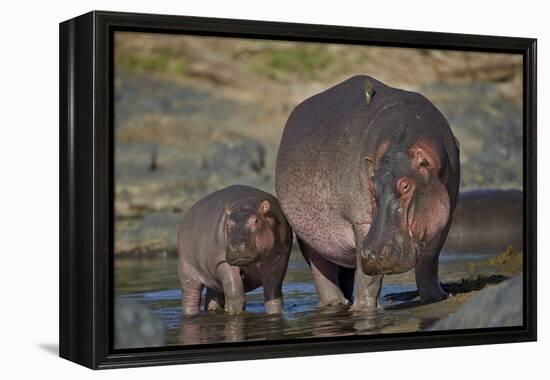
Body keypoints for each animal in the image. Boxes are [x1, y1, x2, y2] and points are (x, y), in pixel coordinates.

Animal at [180, 186, 294, 314]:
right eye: (227, 223)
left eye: (256, 220)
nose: (237, 247)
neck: (246, 203)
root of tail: (188, 213)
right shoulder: (222, 262)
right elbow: (235, 293)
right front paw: (234, 313)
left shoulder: (280, 260)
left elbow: (273, 295)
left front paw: (275, 313)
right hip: (187, 271)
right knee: (190, 297)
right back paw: (190, 313)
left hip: (214, 280)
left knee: (214, 296)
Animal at [276, 75, 462, 312]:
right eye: (371, 186)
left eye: (406, 186)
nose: (373, 254)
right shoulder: (362, 221)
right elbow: (369, 278)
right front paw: (362, 310)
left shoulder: (445, 216)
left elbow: (430, 260)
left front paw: (437, 296)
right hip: (309, 238)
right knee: (322, 273)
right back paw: (336, 304)